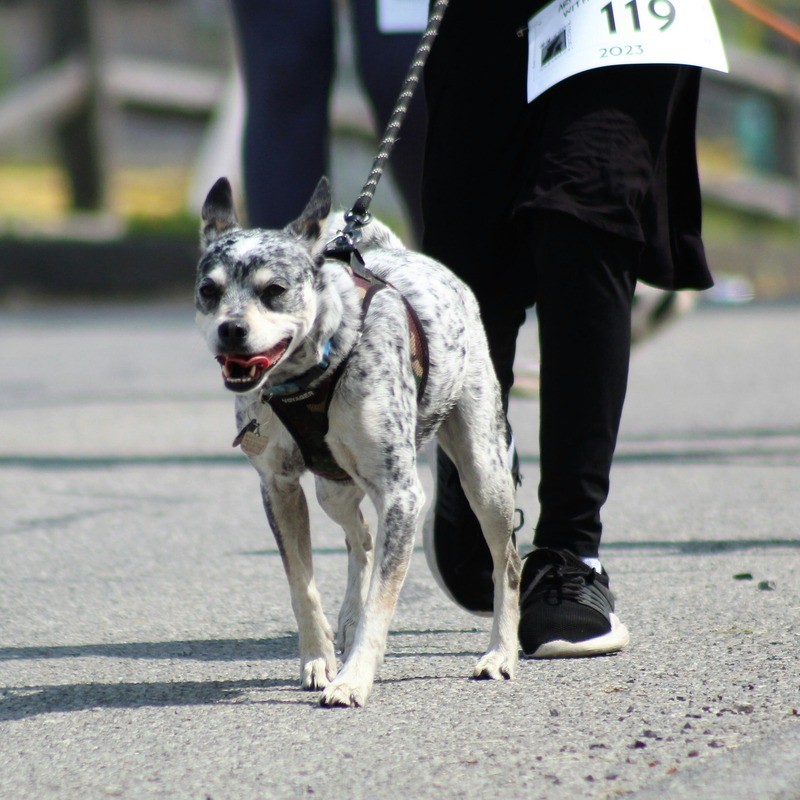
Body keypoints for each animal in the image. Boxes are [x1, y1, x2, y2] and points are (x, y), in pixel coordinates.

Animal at [194, 177, 520, 708]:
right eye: (209, 290)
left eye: (274, 290)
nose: (231, 329)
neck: (311, 374)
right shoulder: (279, 488)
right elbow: (302, 585)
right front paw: (318, 660)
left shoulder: (402, 495)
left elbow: (380, 603)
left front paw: (352, 678)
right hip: (332, 489)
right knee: (361, 537)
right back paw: (343, 622)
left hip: (484, 477)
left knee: (506, 562)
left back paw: (500, 653)